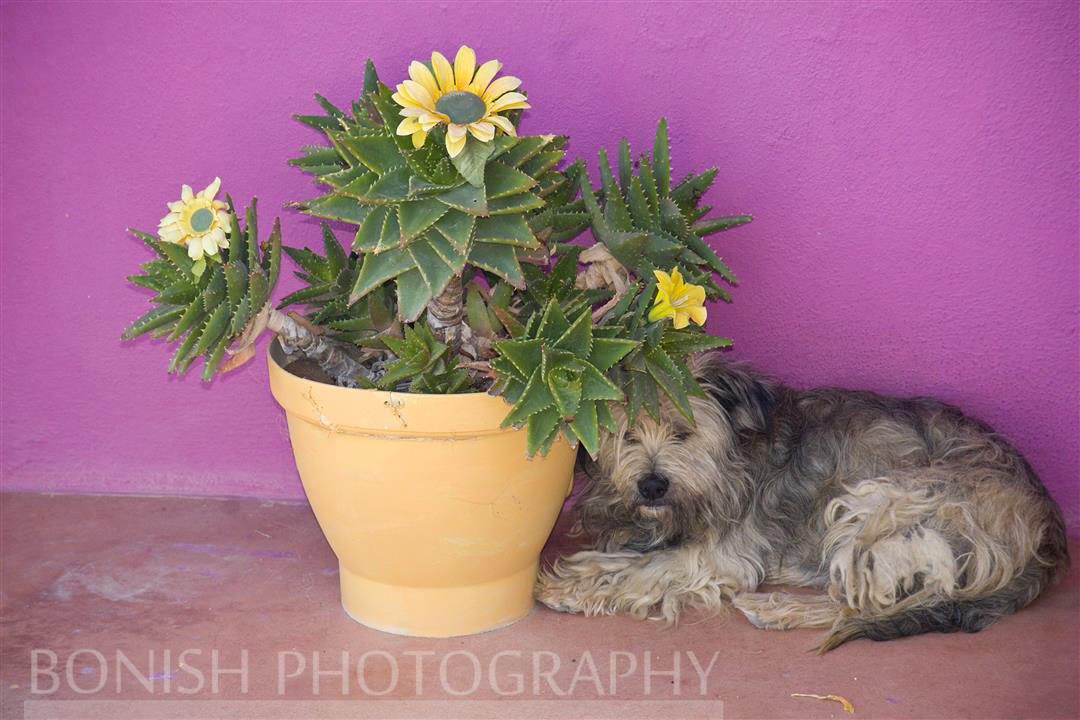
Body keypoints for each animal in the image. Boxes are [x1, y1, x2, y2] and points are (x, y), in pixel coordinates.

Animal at [535, 354, 1067, 651]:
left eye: (682, 432)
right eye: (627, 435)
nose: (651, 486)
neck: (730, 460)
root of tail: (1046, 521)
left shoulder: (721, 557)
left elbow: (644, 570)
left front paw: (569, 590)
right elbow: (617, 557)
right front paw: (579, 576)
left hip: (882, 502)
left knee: (867, 603)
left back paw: (779, 609)